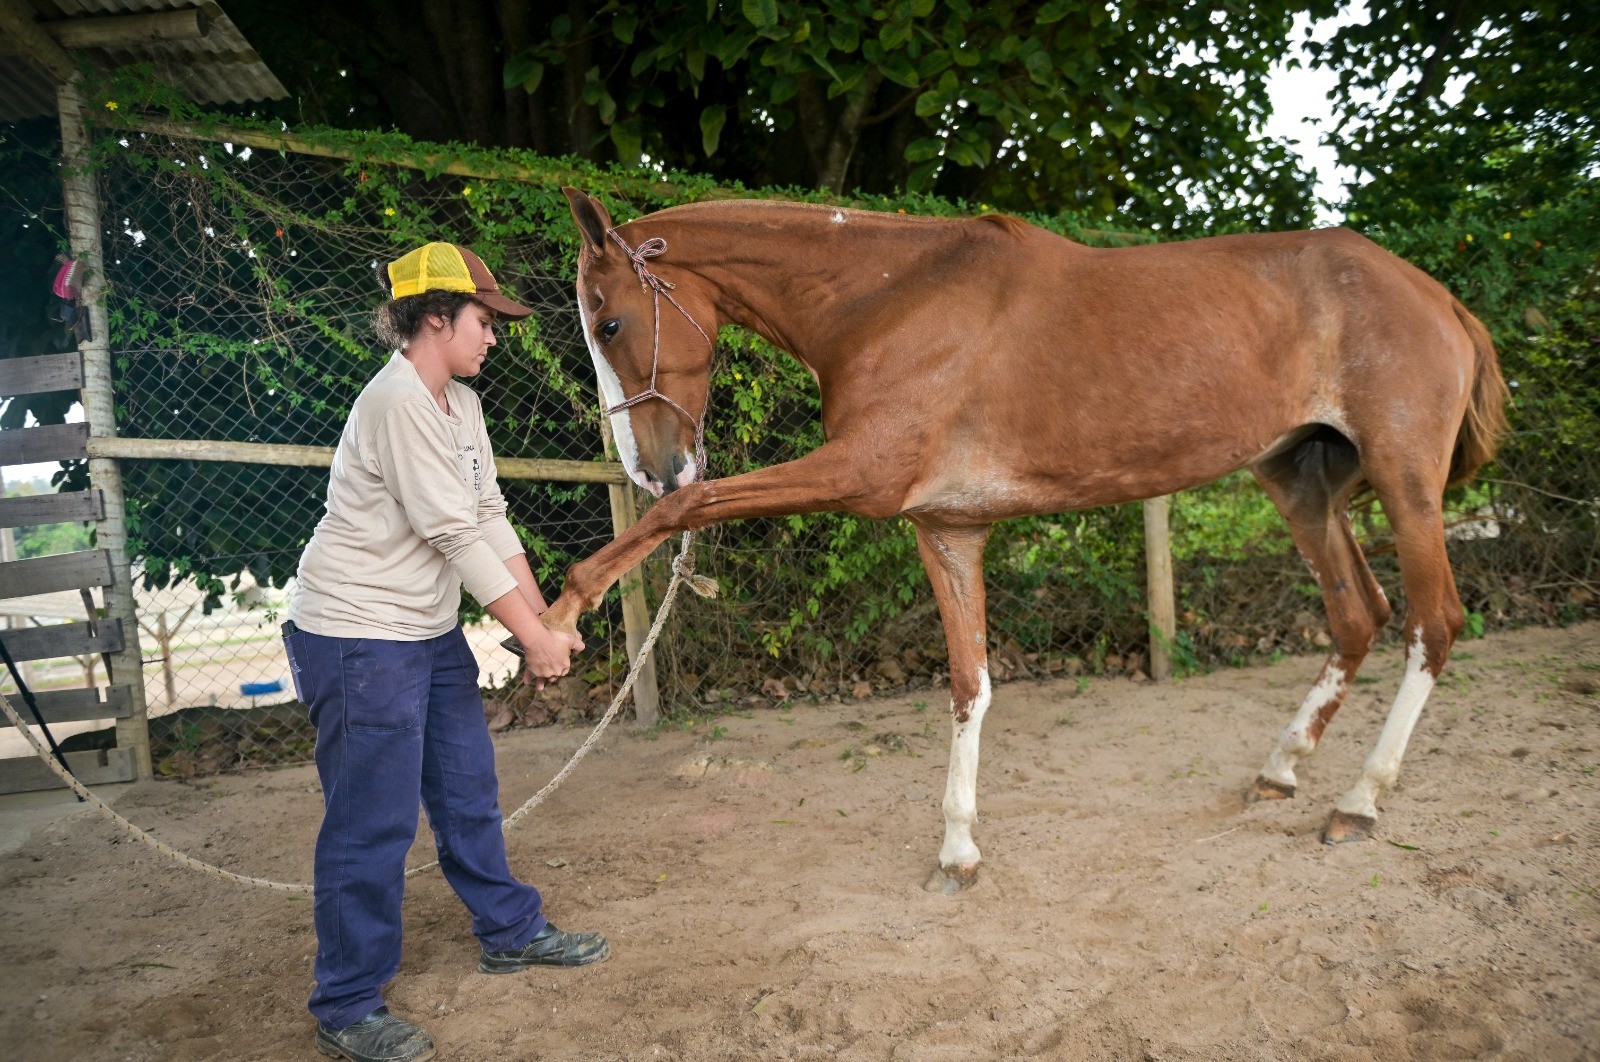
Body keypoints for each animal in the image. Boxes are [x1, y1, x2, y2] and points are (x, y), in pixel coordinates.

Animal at [543, 187, 1508, 894]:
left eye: (609, 323)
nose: (650, 467)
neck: (888, 297)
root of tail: (1441, 299)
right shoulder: (946, 528)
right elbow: (969, 686)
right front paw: (958, 851)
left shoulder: (862, 472)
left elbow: (691, 511)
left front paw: (558, 612)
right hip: (1298, 481)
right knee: (1358, 615)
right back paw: (1280, 769)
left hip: (1406, 485)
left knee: (1433, 623)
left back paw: (1359, 802)